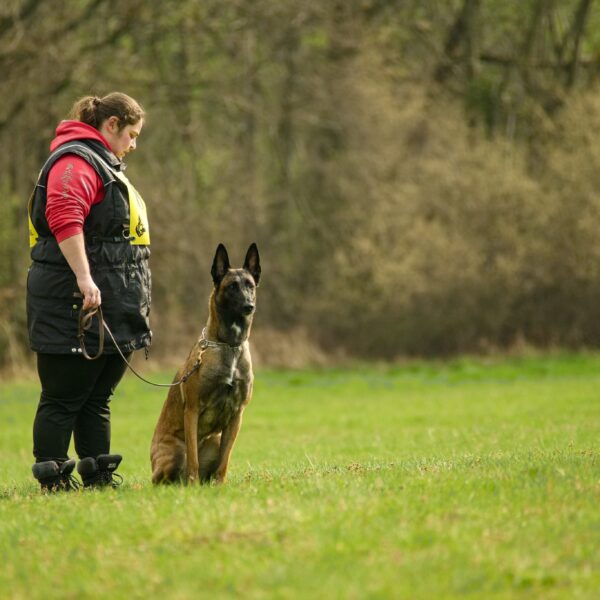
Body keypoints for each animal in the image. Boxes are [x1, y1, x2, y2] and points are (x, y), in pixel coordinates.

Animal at [150, 243, 260, 484]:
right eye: (232, 286)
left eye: (250, 285)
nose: (249, 306)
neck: (229, 345)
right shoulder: (192, 410)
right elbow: (193, 459)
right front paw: (193, 486)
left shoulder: (236, 415)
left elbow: (224, 462)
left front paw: (220, 485)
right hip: (173, 453)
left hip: (214, 439)